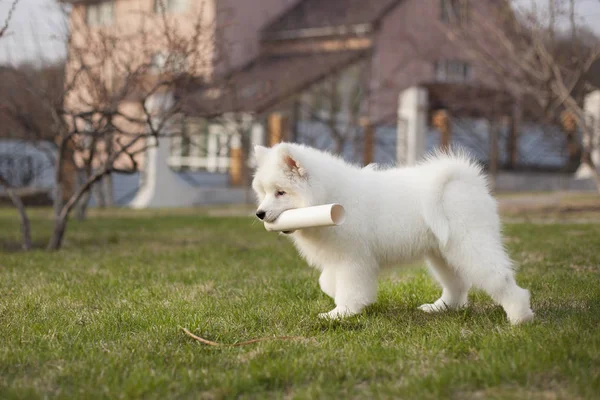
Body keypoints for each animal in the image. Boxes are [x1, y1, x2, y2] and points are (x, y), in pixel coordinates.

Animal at [252, 142, 536, 324]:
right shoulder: (338, 258)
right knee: (456, 284)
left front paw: (341, 313)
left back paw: (520, 317)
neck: (331, 195)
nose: (259, 213)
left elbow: (350, 289)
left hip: (470, 244)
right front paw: (335, 297)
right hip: (441, 253)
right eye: (263, 192)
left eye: (280, 192)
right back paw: (440, 307)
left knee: (499, 278)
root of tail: (464, 178)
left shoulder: (352, 260)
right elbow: (327, 281)